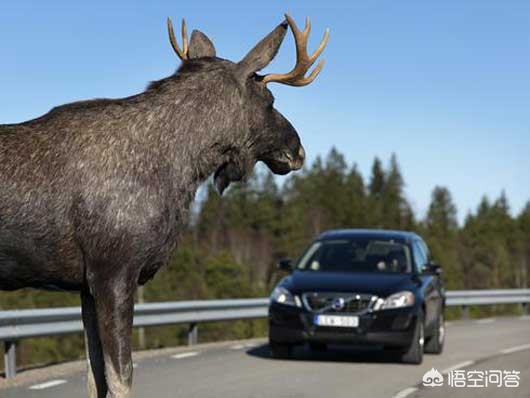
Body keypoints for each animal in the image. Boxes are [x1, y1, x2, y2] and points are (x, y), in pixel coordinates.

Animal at [0, 14, 328, 396]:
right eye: (270, 100)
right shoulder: (113, 271)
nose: (298, 150)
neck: (179, 169)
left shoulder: (85, 284)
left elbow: (95, 377)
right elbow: (120, 376)